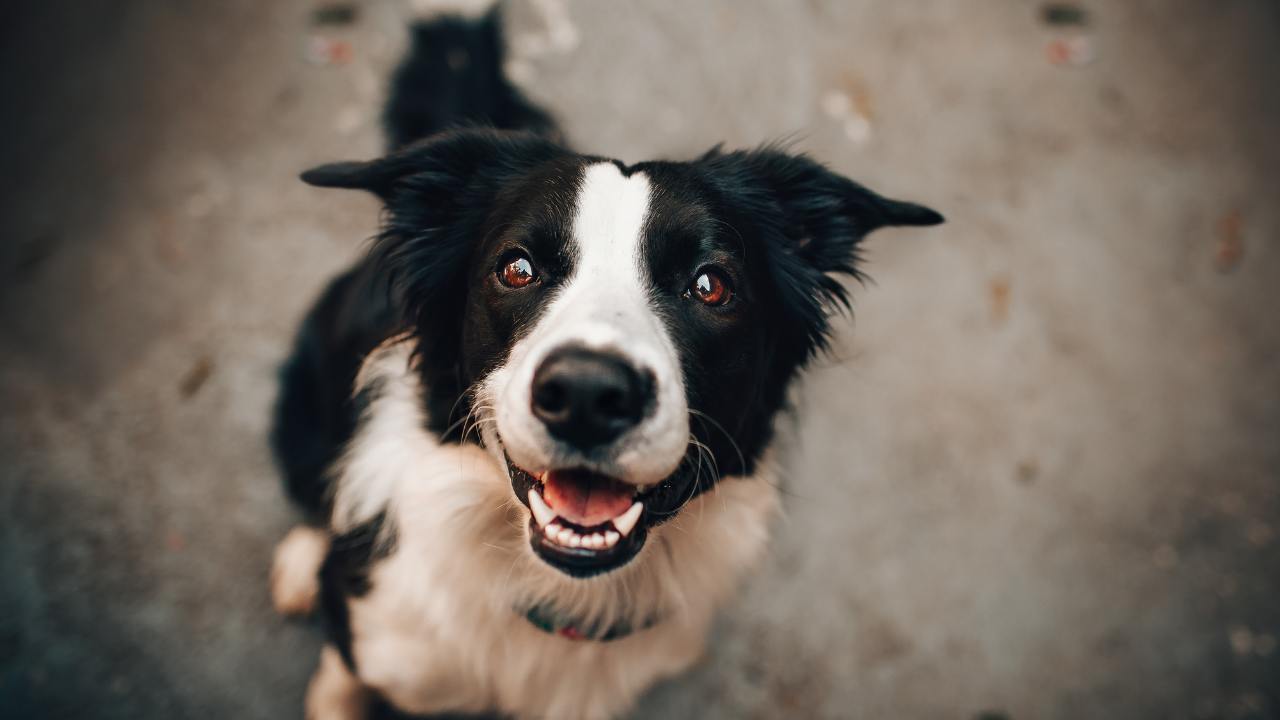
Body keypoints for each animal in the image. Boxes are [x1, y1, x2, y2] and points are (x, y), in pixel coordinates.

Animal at [270, 2, 947, 712]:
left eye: (711, 285)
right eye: (517, 268)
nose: (588, 396)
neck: (564, 593)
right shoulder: (374, 639)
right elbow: (340, 683)